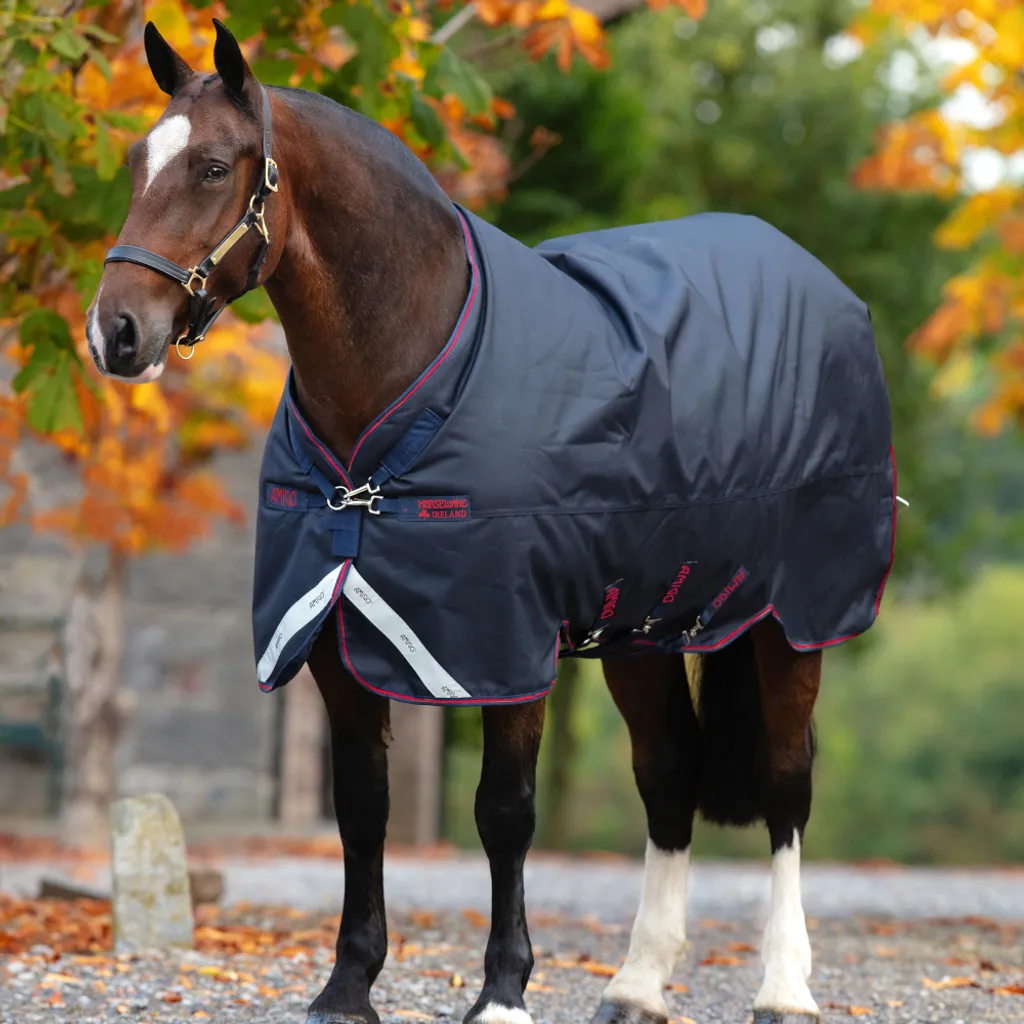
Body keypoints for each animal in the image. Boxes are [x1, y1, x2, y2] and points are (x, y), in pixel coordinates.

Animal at [87, 20, 896, 1024]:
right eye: (133, 162)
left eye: (209, 167)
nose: (115, 332)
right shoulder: (334, 640)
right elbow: (362, 807)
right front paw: (346, 986)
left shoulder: (503, 643)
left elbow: (504, 810)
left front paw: (504, 991)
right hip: (643, 628)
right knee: (669, 774)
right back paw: (637, 985)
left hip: (795, 620)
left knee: (787, 782)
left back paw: (784, 986)